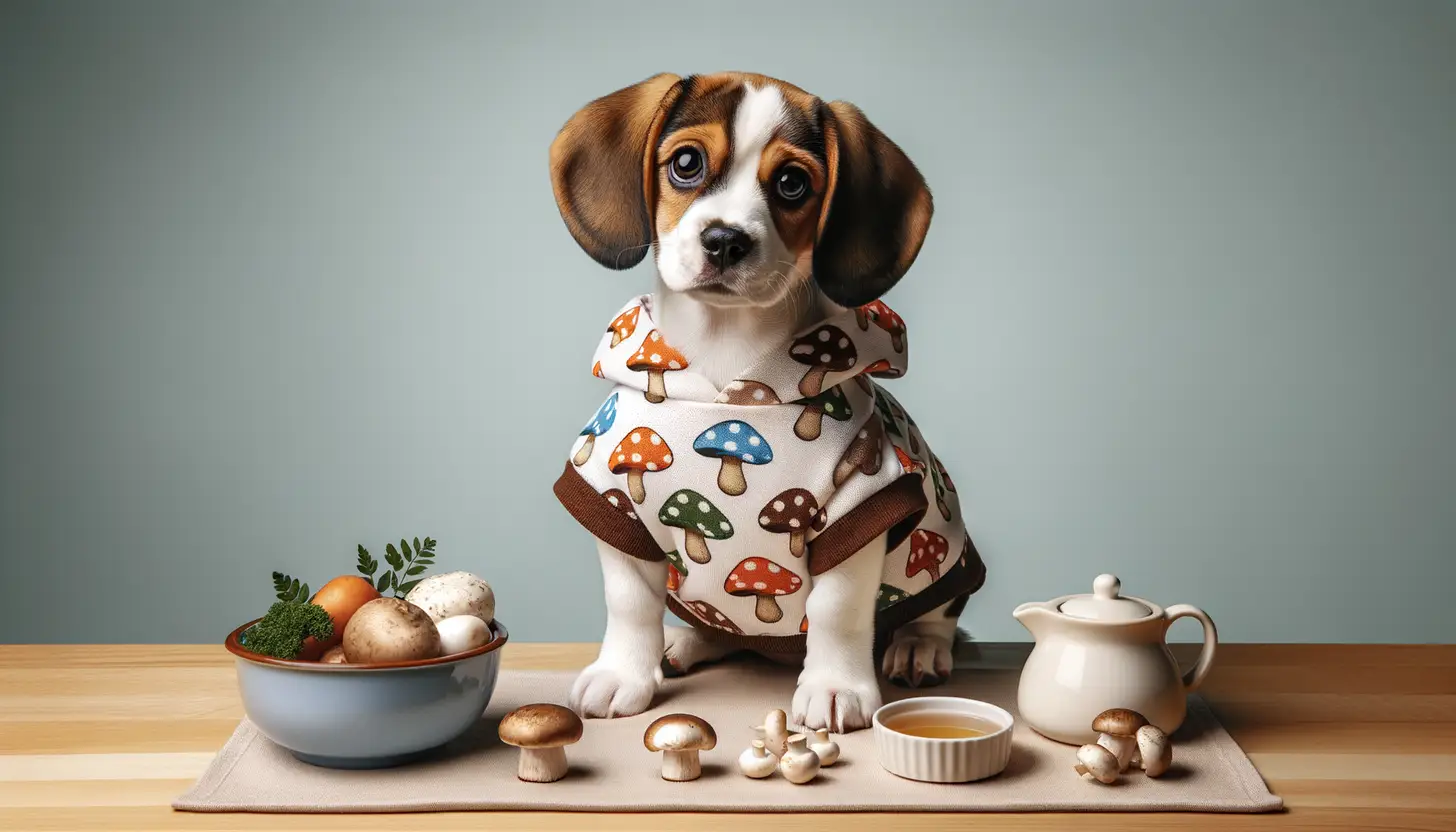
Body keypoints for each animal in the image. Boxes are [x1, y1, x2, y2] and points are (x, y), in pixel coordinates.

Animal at [550, 75, 984, 731]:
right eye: (686, 163)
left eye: (792, 182)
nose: (726, 240)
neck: (724, 358)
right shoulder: (611, 498)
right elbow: (628, 603)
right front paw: (623, 673)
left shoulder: (862, 502)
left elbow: (837, 612)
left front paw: (833, 687)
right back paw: (687, 642)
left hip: (945, 543)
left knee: (938, 612)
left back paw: (918, 647)